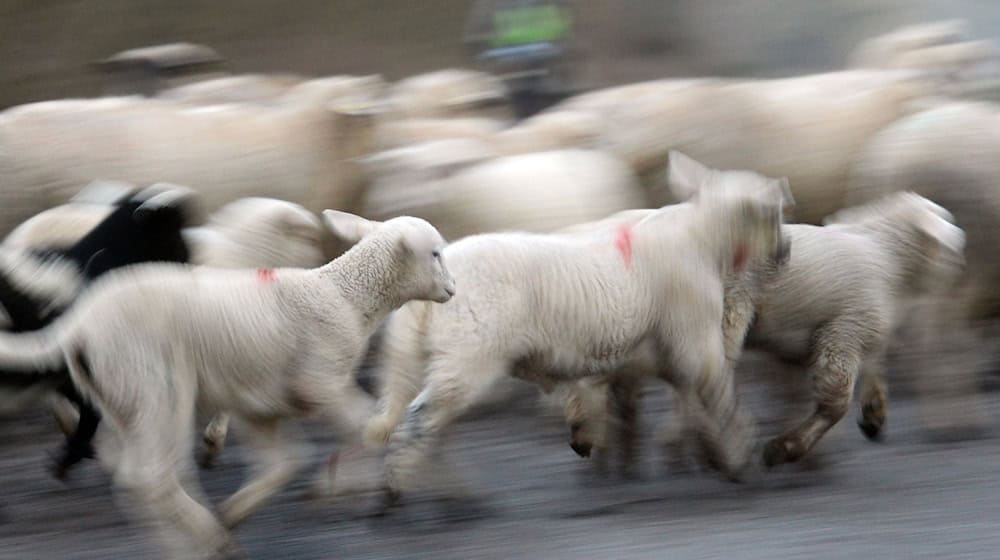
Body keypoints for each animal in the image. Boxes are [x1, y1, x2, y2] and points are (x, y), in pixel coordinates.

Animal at [364, 151, 792, 510]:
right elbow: (719, 395)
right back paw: (396, 491)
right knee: (422, 419)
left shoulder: (649, 351)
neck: (703, 240)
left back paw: (445, 490)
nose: (785, 251)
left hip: (426, 355)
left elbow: (656, 397)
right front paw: (741, 458)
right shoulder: (693, 334)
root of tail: (430, 286)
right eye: (773, 213)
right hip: (469, 352)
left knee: (428, 421)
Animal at [560, 190, 964, 474]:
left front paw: (873, 414)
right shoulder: (845, 329)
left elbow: (861, 369)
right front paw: (784, 449)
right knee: (691, 374)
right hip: (719, 310)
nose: (958, 268)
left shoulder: (815, 339)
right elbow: (833, 402)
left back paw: (595, 435)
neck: (887, 254)